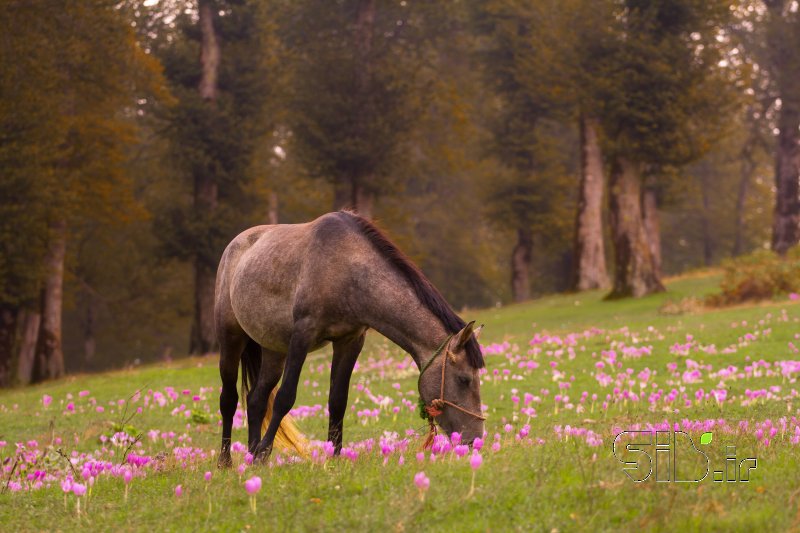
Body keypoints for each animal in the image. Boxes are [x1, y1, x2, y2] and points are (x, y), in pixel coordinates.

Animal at [212, 210, 484, 464]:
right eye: (464, 380)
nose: (475, 440)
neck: (347, 270)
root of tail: (234, 246)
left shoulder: (349, 342)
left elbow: (338, 401)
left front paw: (335, 456)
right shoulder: (302, 336)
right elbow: (285, 397)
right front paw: (263, 453)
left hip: (273, 351)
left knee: (256, 400)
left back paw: (250, 455)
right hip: (231, 338)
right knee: (229, 399)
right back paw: (227, 461)